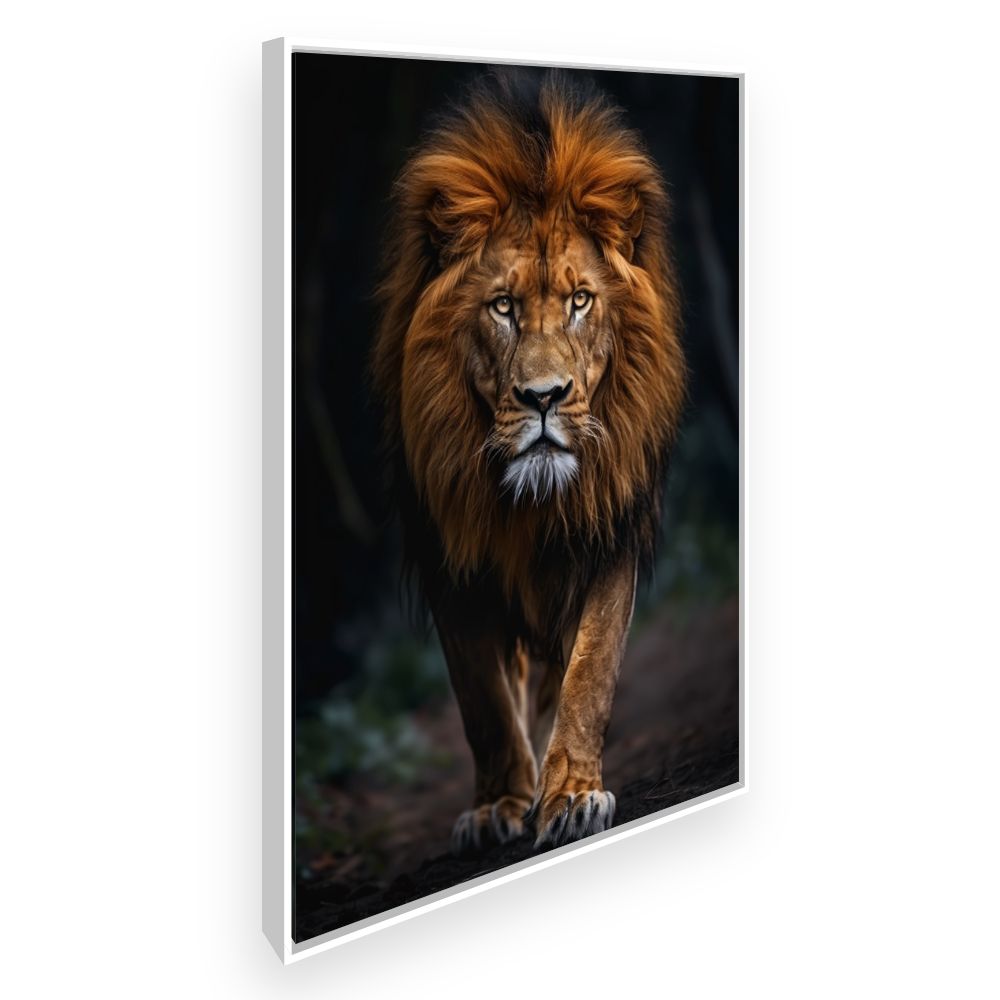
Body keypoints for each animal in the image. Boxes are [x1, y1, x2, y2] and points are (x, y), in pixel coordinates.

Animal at [371, 71, 686, 852]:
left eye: (580, 301)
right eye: (504, 307)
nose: (544, 397)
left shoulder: (609, 529)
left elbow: (590, 672)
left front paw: (570, 793)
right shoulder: (449, 556)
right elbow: (482, 698)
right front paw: (499, 806)